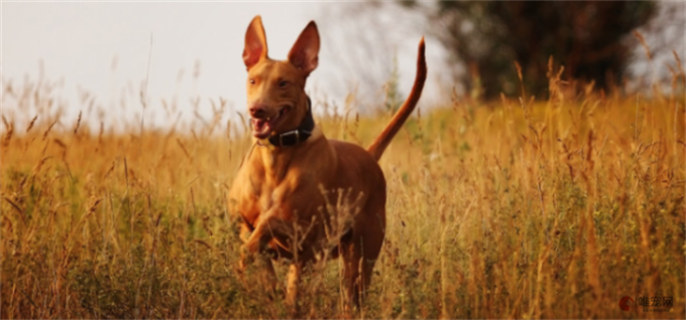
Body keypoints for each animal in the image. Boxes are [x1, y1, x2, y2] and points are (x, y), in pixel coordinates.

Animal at [228, 15, 428, 310]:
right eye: (253, 80)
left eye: (283, 83)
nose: (257, 110)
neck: (276, 156)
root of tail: (368, 154)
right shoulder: (242, 221)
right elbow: (256, 246)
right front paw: (263, 282)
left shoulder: (302, 230)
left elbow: (269, 222)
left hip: (361, 255)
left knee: (352, 294)